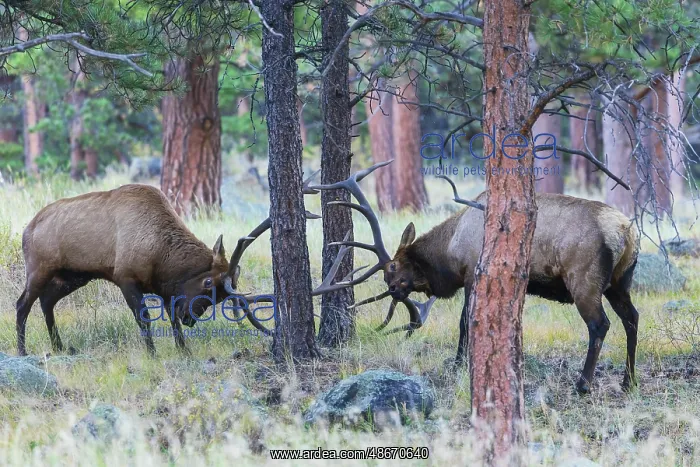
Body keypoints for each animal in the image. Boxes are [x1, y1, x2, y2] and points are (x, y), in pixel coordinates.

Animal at [15, 176, 320, 357]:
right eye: (207, 282)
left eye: (221, 297)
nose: (191, 318)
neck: (160, 256)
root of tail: (26, 230)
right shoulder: (125, 276)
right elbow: (144, 317)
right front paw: (152, 353)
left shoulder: (164, 288)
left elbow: (171, 317)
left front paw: (184, 350)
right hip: (39, 268)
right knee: (22, 303)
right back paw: (22, 351)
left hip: (73, 276)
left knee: (47, 301)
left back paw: (59, 346)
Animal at [311, 161, 640, 394]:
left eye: (392, 268)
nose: (393, 290)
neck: (451, 252)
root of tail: (625, 232)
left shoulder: (472, 273)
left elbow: (465, 322)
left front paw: (459, 363)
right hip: (619, 282)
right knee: (632, 318)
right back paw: (629, 381)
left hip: (584, 280)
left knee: (600, 324)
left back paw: (583, 384)